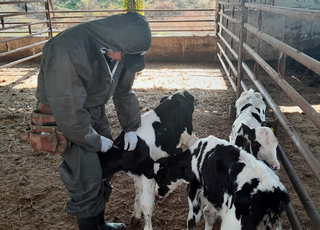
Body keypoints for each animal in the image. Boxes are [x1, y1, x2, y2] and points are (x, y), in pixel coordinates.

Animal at [98, 90, 198, 230]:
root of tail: (182, 92)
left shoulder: (148, 171)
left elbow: (146, 202)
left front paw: (147, 226)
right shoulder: (138, 172)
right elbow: (138, 194)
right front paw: (136, 216)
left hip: (188, 134)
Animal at [154, 136, 292, 230]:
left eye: (158, 178)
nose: (156, 193)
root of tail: (273, 193)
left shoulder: (195, 194)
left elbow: (192, 220)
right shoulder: (215, 198)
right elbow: (209, 214)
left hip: (232, 224)